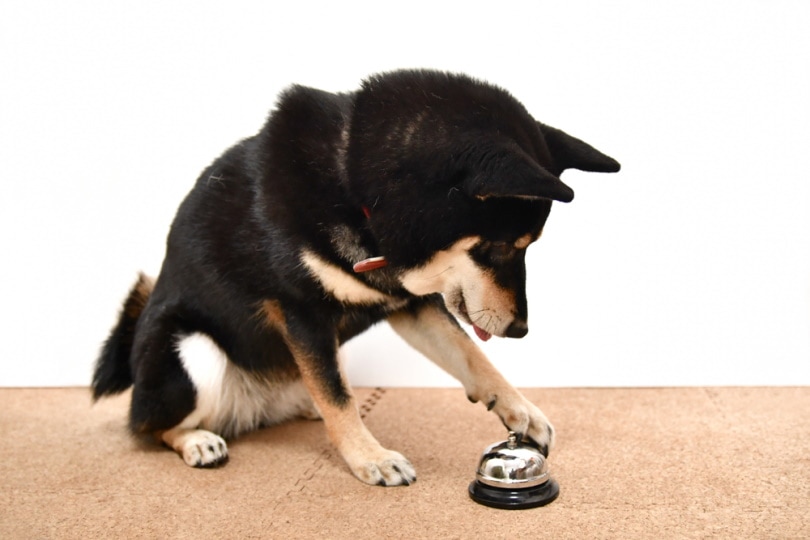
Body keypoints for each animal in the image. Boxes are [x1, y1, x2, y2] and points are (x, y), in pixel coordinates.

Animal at [91, 69, 620, 488]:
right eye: (500, 248)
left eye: (528, 246)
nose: (521, 330)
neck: (355, 193)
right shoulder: (301, 311)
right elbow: (338, 397)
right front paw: (371, 458)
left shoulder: (411, 306)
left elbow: (472, 358)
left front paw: (520, 409)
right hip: (190, 349)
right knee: (149, 424)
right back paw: (198, 439)